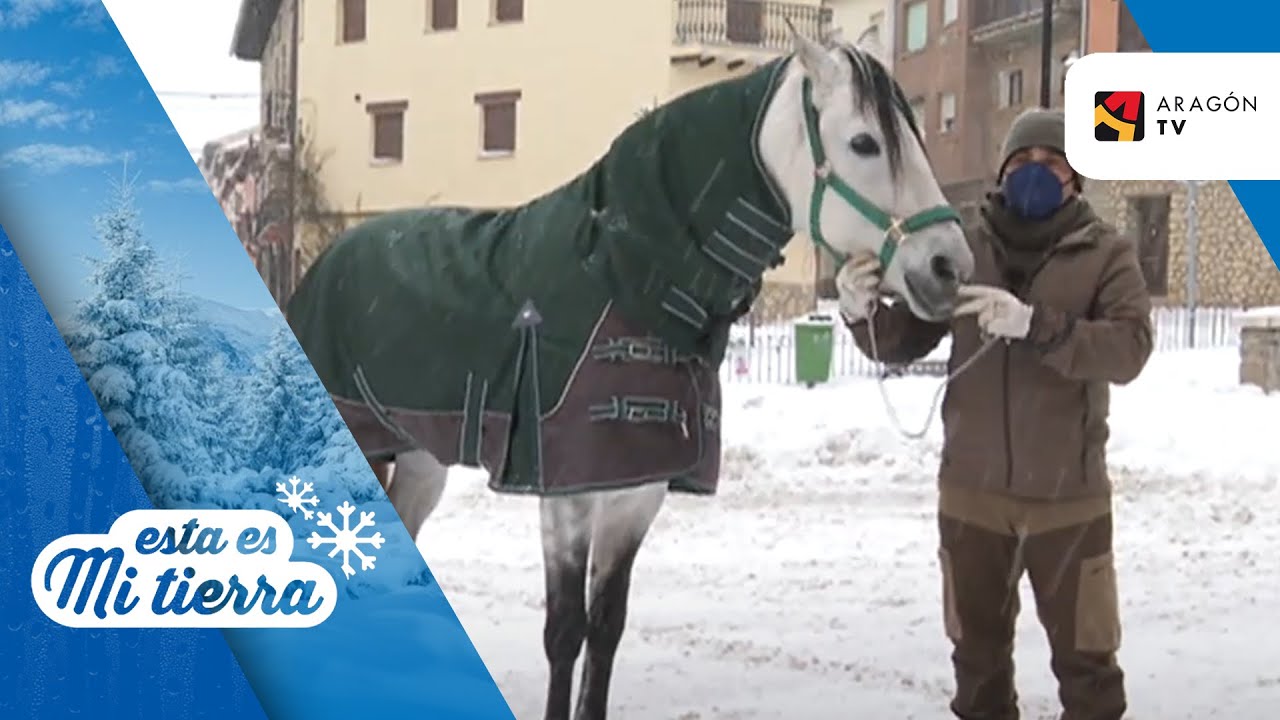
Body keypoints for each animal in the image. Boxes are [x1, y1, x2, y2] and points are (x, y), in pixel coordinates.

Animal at [285, 26, 974, 720]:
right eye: (864, 142)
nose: (949, 265)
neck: (628, 275)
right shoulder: (564, 494)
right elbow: (565, 630)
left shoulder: (635, 495)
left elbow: (606, 626)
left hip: (420, 462)